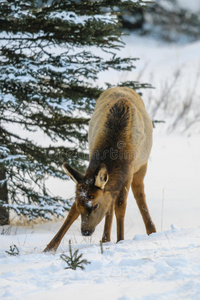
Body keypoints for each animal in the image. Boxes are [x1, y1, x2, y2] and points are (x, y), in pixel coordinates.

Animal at [43, 87, 156, 253]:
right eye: (79, 203)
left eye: (95, 204)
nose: (85, 232)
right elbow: (73, 212)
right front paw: (50, 248)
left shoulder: (128, 173)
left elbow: (120, 206)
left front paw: (120, 240)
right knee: (110, 201)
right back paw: (105, 239)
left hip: (142, 166)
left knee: (138, 193)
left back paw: (151, 230)